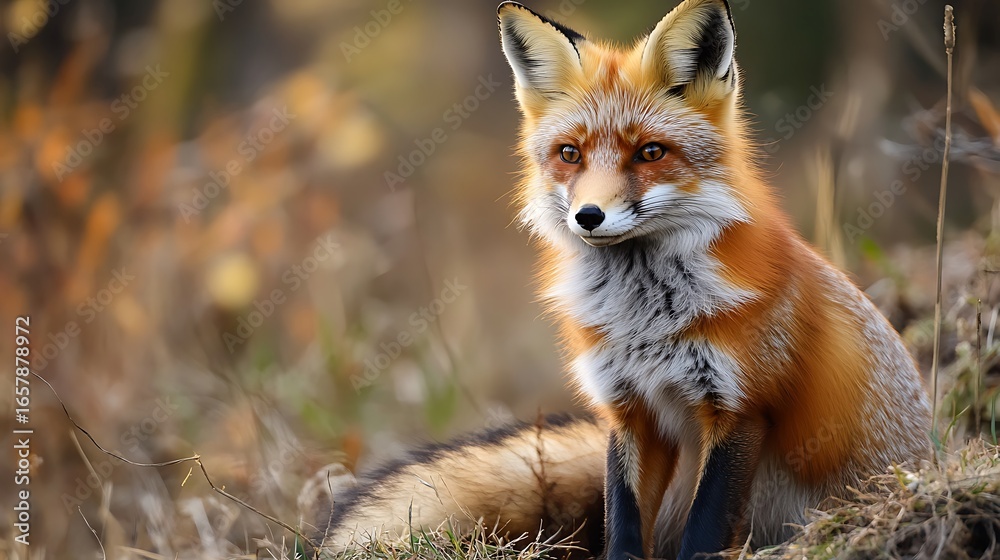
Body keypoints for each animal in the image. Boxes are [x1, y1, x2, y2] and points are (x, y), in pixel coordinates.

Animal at [318, 1, 932, 558]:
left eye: (650, 152)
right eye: (570, 154)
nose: (588, 216)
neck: (645, 320)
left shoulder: (739, 407)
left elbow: (705, 531)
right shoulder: (626, 406)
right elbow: (623, 523)